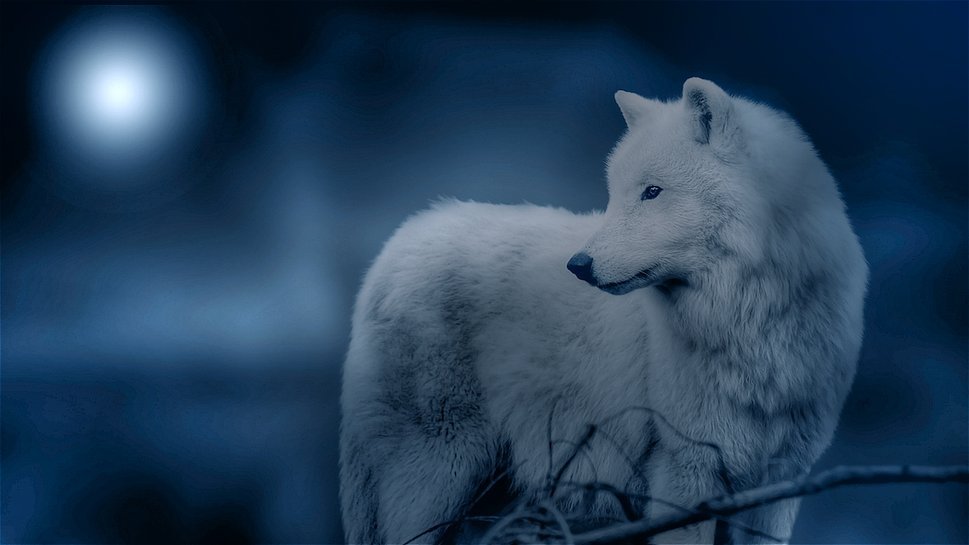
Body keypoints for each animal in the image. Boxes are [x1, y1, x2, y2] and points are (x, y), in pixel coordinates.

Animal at [340, 78, 868, 544]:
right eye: (614, 193)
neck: (752, 324)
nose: (579, 265)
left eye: (652, 192)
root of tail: (399, 242)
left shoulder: (782, 483)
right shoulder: (686, 474)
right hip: (438, 478)